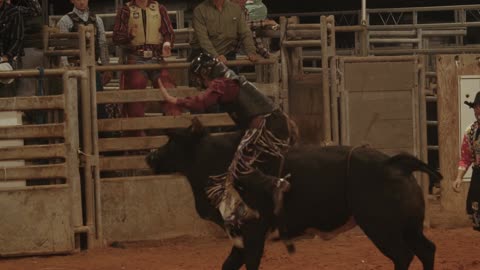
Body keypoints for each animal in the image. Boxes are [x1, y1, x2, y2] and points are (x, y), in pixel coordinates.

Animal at [146, 124, 442, 270]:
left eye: (172, 142)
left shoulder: (253, 235)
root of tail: (394, 163)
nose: (150, 156)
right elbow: (228, 266)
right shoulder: (240, 238)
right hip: (409, 228)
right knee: (426, 250)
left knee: (403, 256)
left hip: (382, 228)